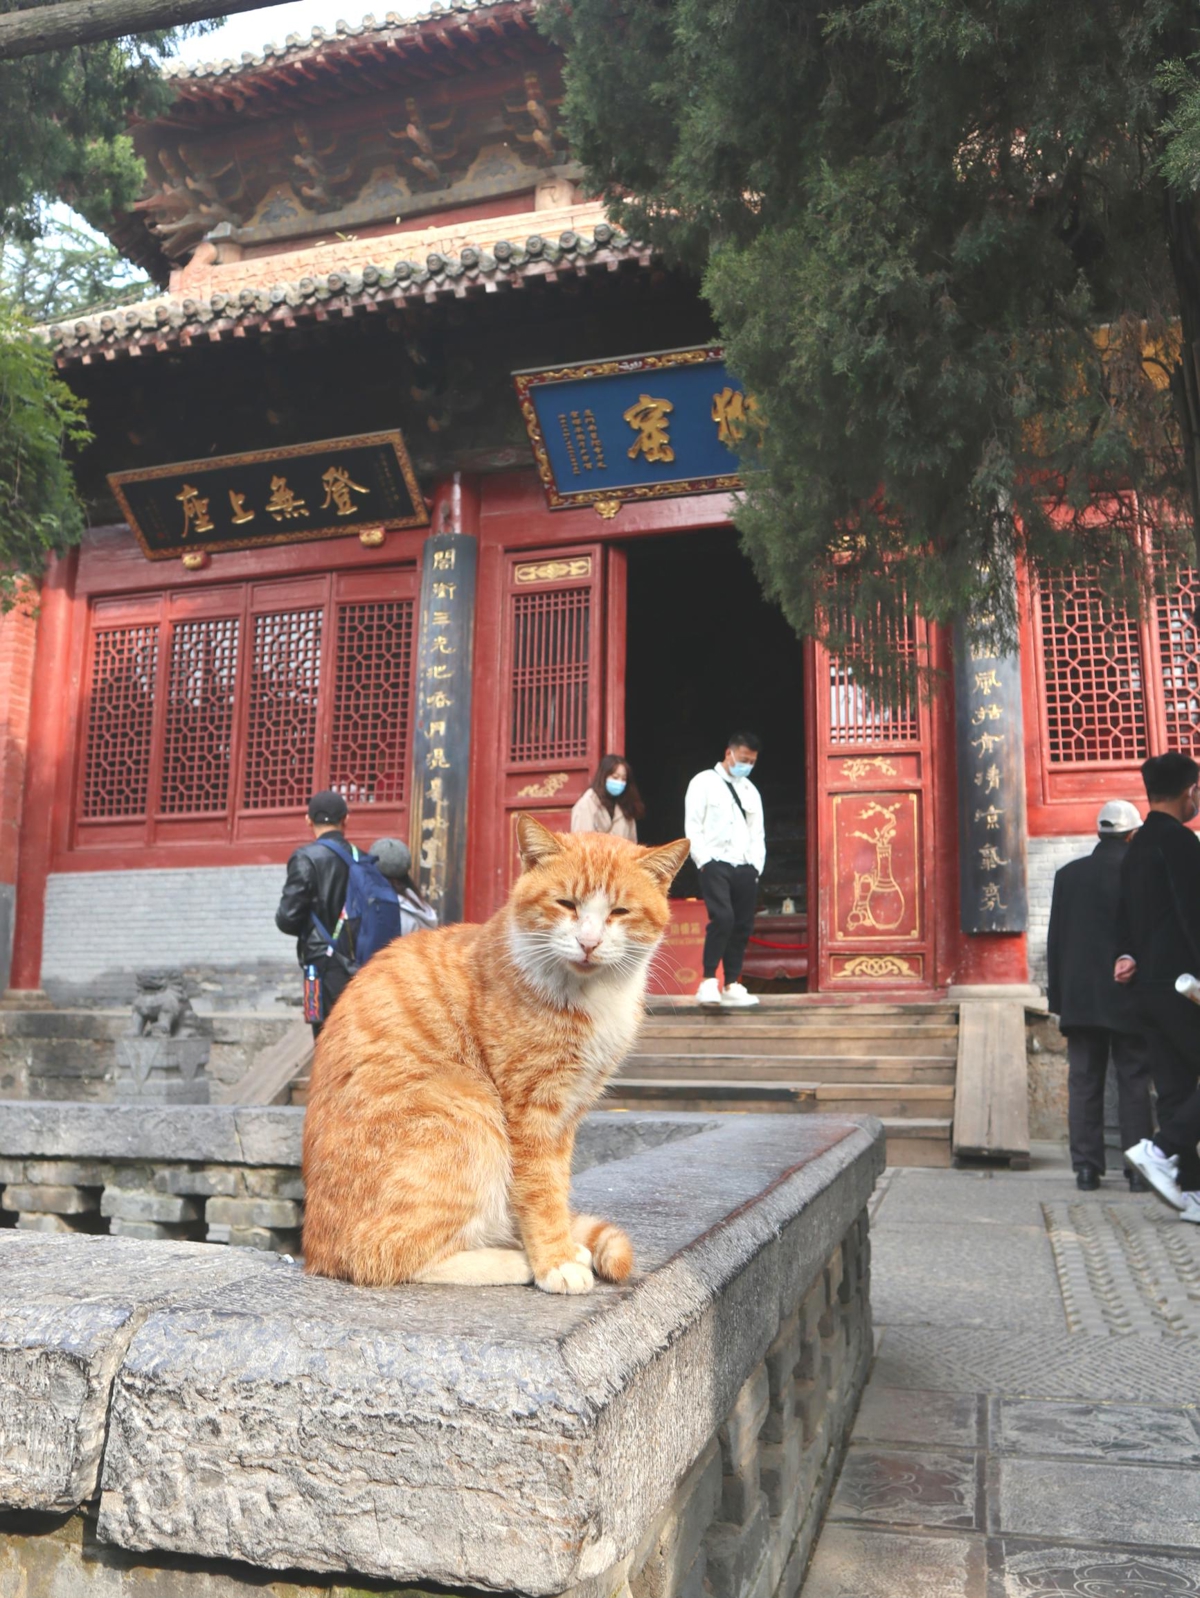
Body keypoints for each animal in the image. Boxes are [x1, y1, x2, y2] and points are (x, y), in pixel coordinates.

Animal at [301, 814, 690, 1294]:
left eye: (619, 912)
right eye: (566, 904)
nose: (589, 943)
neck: (591, 994)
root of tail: (314, 1252)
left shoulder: (568, 1115)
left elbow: (555, 1186)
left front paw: (562, 1245)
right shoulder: (531, 1111)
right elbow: (539, 1191)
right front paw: (553, 1261)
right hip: (470, 1114)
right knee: (385, 1256)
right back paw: (513, 1261)